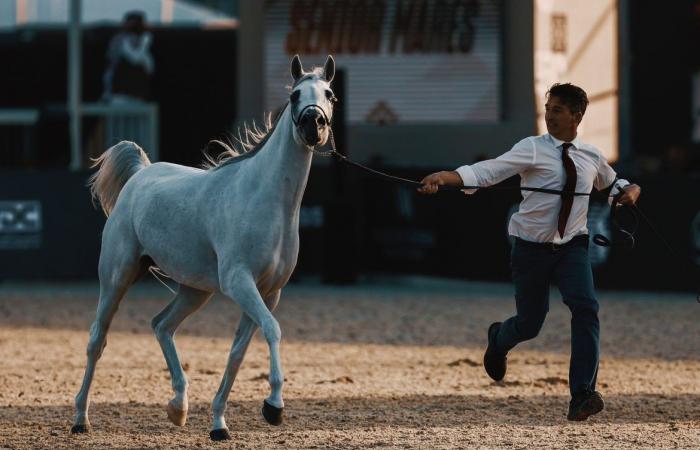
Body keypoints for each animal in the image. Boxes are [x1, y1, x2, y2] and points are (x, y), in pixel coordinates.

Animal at [72, 54, 338, 442]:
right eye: (295, 96)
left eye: (329, 94)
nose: (312, 125)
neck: (264, 198)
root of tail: (141, 173)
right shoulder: (239, 282)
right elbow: (273, 330)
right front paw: (274, 407)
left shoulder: (268, 292)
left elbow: (237, 354)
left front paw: (219, 424)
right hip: (117, 277)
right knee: (97, 340)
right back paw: (80, 419)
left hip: (194, 290)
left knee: (161, 325)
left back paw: (178, 407)